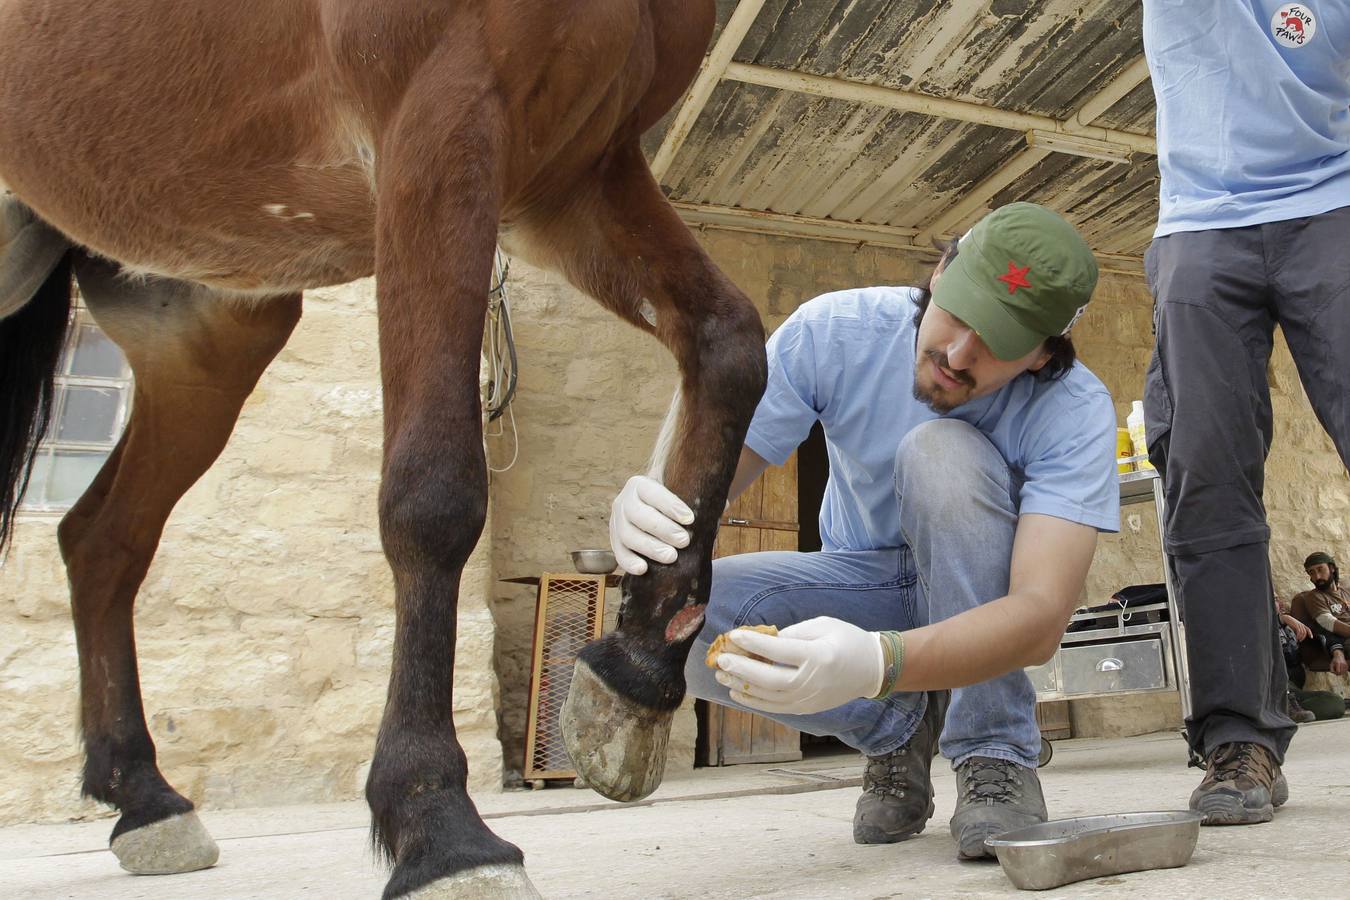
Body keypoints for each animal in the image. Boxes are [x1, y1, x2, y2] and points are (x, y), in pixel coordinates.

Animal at [0, 3, 766, 895]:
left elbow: (731, 346)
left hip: (203, 332)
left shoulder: (575, 177)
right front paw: (438, 825)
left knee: (103, 541)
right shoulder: (438, 129)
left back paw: (145, 797)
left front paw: (631, 679)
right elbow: (433, 494)